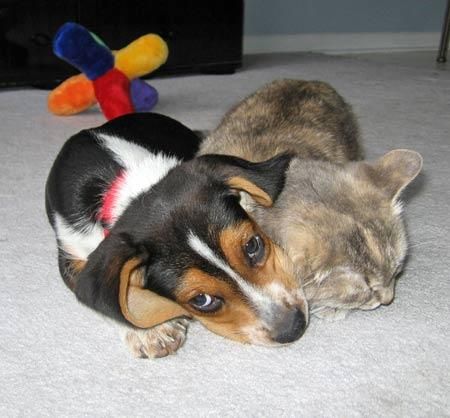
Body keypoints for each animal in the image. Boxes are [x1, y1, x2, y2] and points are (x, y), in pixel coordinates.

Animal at [45, 112, 308, 358]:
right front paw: (150, 332)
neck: (130, 186)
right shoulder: (71, 253)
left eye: (253, 245)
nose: (294, 327)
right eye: (202, 301)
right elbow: (115, 304)